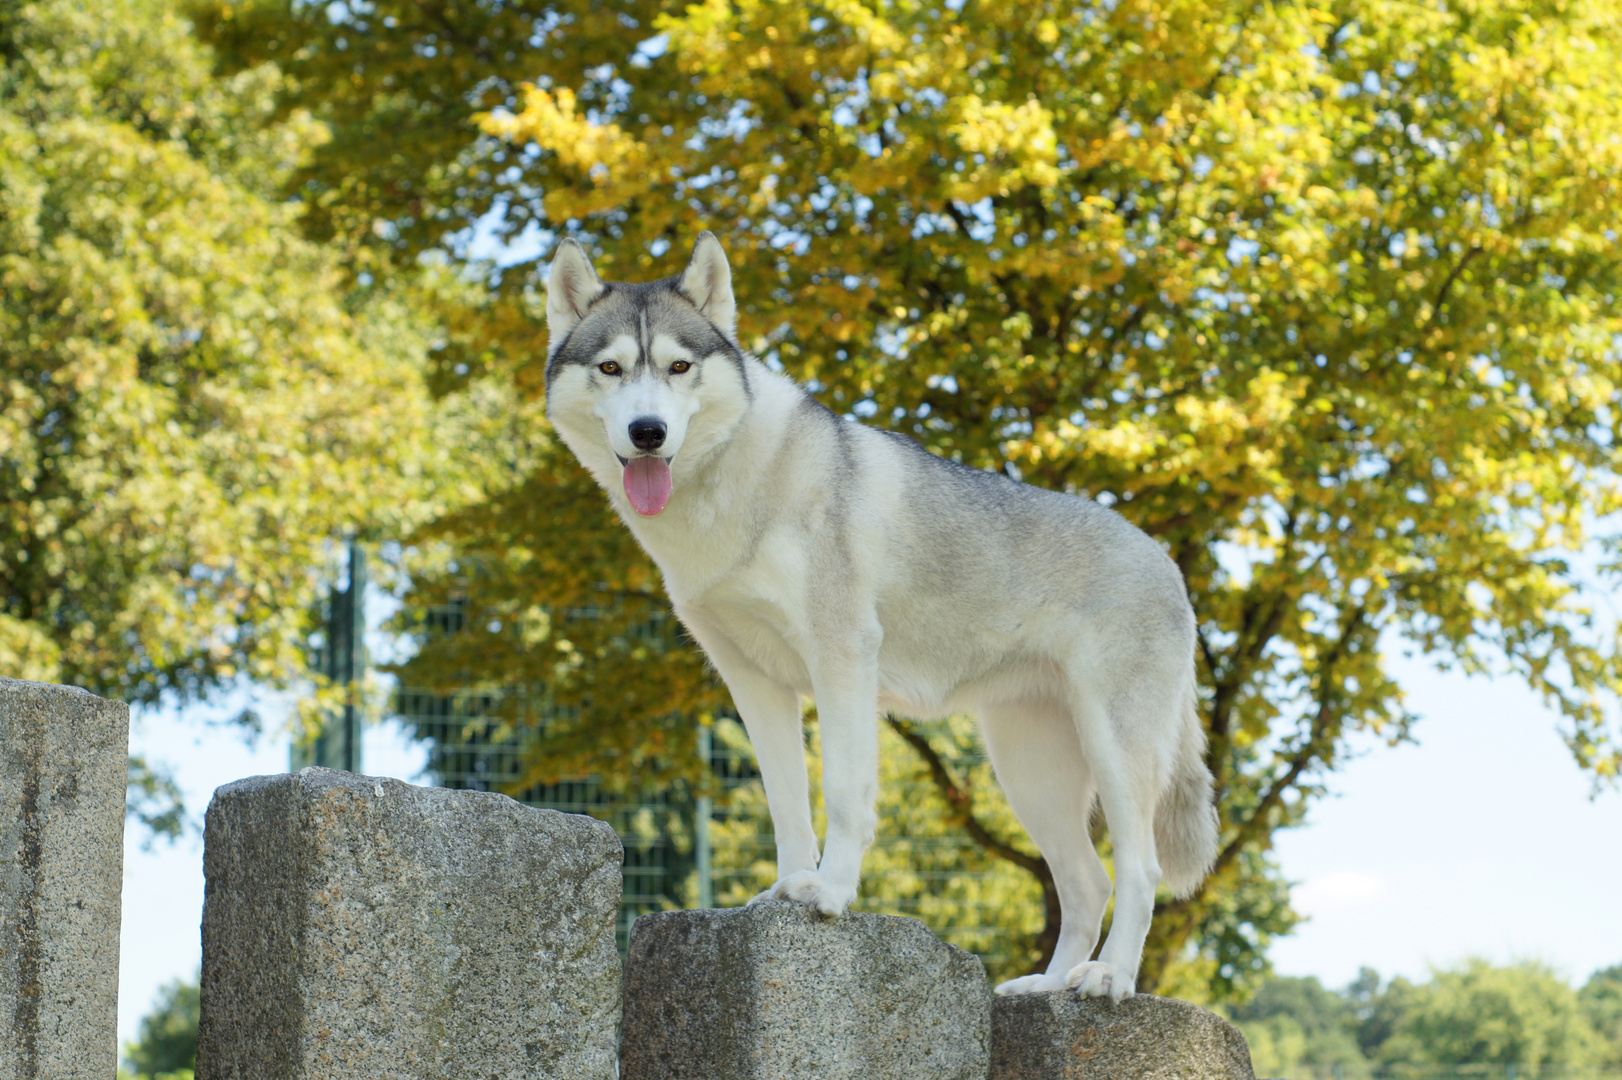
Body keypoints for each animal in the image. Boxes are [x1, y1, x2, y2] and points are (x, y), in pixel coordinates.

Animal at [544, 231, 1219, 998]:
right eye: (610, 368)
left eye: (678, 366)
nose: (648, 432)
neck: (734, 485)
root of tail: (1167, 561)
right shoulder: (752, 683)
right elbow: (787, 805)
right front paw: (786, 890)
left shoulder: (842, 658)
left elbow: (843, 794)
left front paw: (831, 895)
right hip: (1029, 774)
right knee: (1087, 883)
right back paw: (1044, 987)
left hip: (1114, 755)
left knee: (1139, 872)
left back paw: (1108, 979)